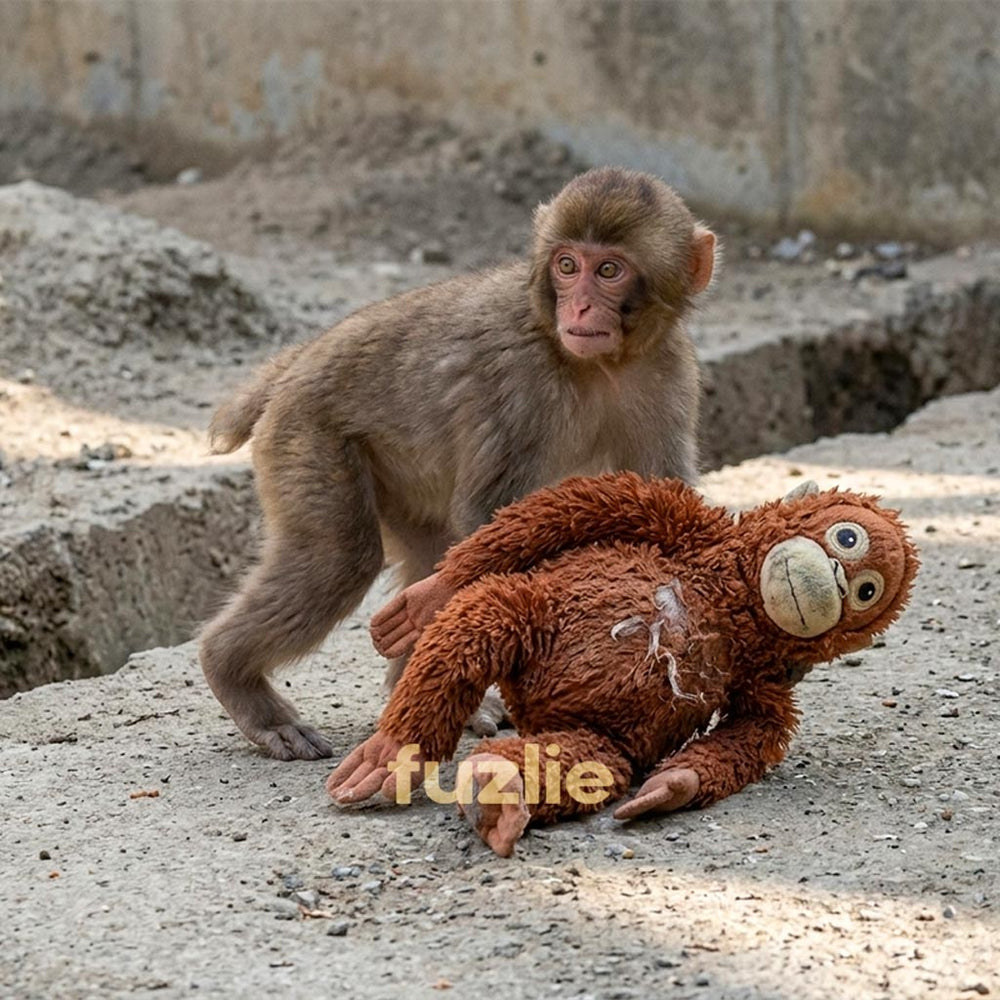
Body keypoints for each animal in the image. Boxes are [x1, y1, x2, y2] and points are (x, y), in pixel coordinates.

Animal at [199, 166, 717, 761]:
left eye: (609, 270)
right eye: (567, 266)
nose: (581, 308)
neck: (601, 363)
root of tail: (295, 365)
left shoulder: (668, 368)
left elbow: (660, 503)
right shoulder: (520, 383)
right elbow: (488, 519)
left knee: (425, 550)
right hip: (307, 436)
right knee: (341, 559)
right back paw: (236, 680)